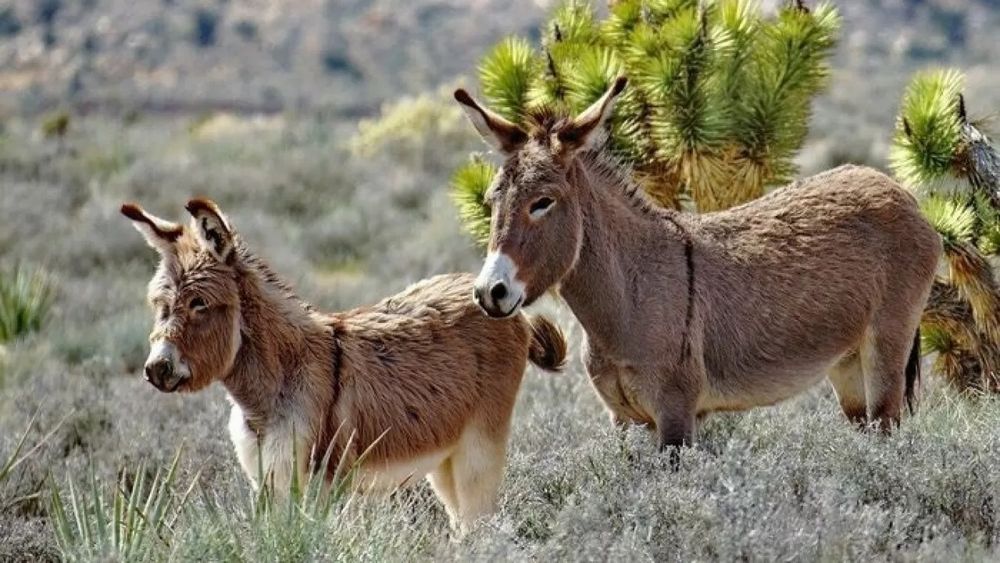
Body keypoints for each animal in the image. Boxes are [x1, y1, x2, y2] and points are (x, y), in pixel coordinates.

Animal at [121, 198, 566, 531]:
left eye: (200, 304)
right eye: (160, 305)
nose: (157, 369)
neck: (273, 387)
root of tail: (509, 309)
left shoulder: (316, 482)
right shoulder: (266, 481)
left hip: (480, 445)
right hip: (445, 456)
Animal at [454, 77, 942, 448]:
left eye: (542, 203)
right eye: (491, 201)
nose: (489, 292)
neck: (628, 297)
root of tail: (896, 190)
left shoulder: (675, 414)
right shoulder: (623, 420)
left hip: (888, 345)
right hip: (847, 363)